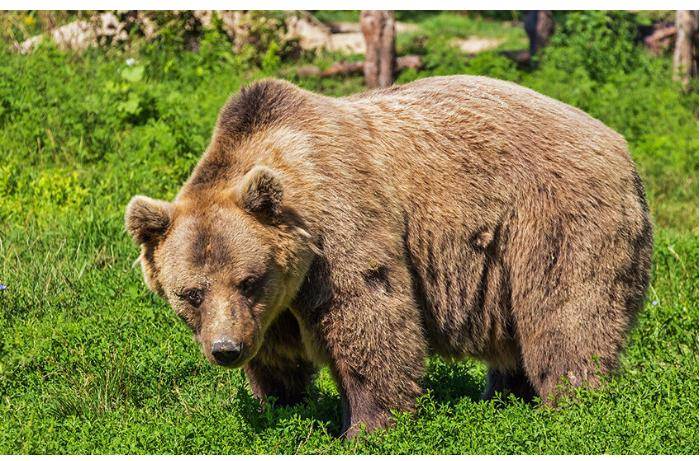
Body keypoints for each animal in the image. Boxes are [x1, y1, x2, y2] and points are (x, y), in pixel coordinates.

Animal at [124, 74, 652, 434]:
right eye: (190, 293)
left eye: (248, 280)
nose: (225, 349)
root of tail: (620, 144)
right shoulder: (273, 308)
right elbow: (276, 356)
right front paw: (280, 405)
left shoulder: (341, 227)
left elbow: (369, 318)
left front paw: (367, 426)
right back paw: (503, 397)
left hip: (554, 218)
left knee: (566, 314)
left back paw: (573, 403)